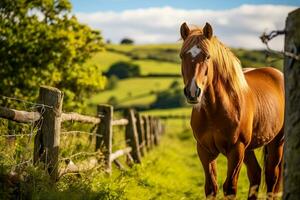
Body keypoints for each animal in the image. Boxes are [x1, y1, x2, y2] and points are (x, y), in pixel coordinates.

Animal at [179, 22, 284, 200]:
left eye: (207, 56)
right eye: (182, 56)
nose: (193, 92)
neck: (215, 111)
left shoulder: (236, 150)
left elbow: (230, 188)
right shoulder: (204, 151)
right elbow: (211, 187)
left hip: (276, 143)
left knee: (272, 177)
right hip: (249, 148)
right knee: (256, 174)